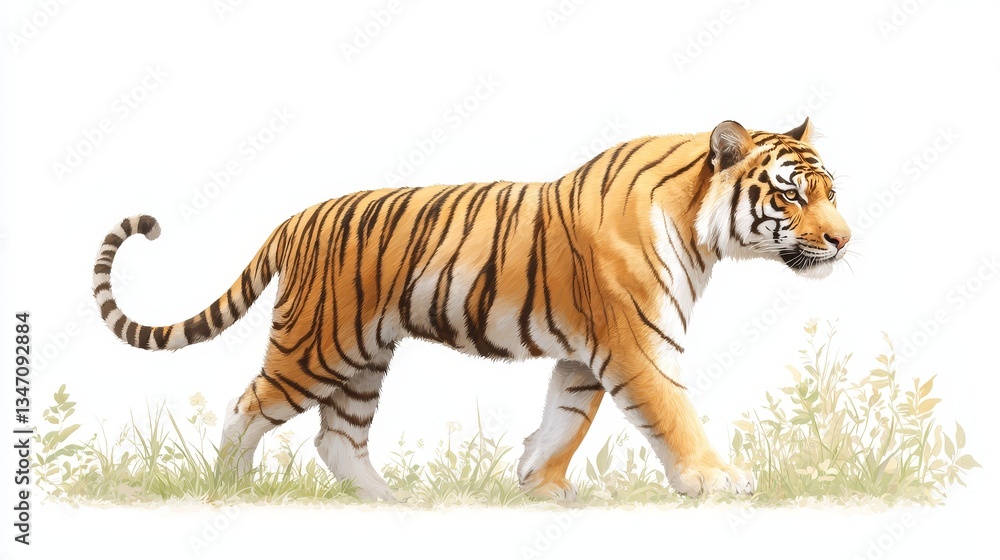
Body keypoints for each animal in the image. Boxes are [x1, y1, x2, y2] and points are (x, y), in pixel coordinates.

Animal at [92, 117, 850, 501]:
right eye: (790, 194)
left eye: (830, 191)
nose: (844, 240)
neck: (700, 228)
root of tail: (296, 218)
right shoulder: (639, 343)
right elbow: (672, 412)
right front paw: (716, 479)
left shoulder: (588, 354)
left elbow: (566, 419)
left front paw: (539, 484)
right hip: (315, 345)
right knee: (247, 405)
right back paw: (232, 487)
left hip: (363, 356)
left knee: (338, 436)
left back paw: (389, 500)